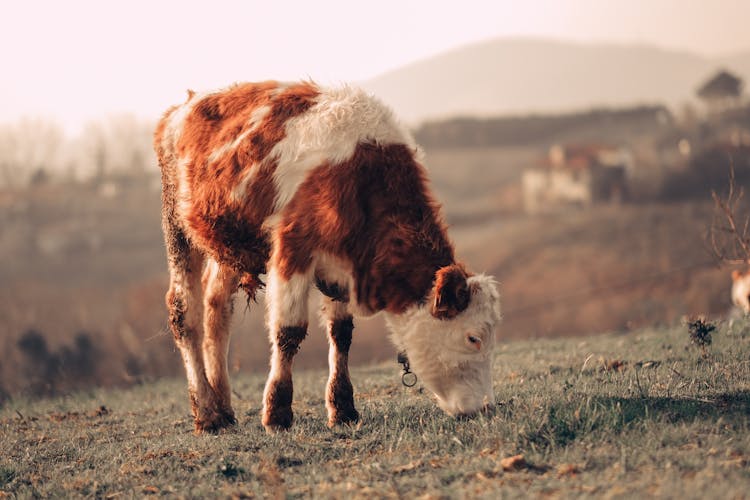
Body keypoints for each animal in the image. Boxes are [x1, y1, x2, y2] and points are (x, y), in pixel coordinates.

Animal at [153, 82, 502, 434]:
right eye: (473, 338)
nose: (485, 407)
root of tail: (182, 107)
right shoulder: (292, 248)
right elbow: (289, 332)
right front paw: (277, 413)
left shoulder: (342, 265)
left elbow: (341, 333)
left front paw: (343, 407)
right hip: (177, 224)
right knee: (184, 312)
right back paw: (208, 412)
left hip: (226, 244)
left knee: (216, 307)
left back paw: (224, 407)